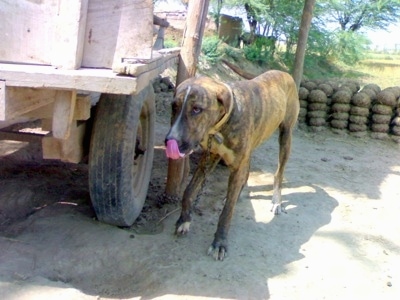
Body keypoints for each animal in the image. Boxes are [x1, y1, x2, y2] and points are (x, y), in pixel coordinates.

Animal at [164, 70, 298, 260]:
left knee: (278, 173)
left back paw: (276, 201)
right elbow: (188, 191)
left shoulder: (234, 164)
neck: (220, 126)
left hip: (286, 136)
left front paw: (219, 242)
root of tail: (285, 73)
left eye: (197, 109)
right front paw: (184, 220)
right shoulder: (210, 157)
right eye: (174, 106)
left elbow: (227, 212)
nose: (170, 141)